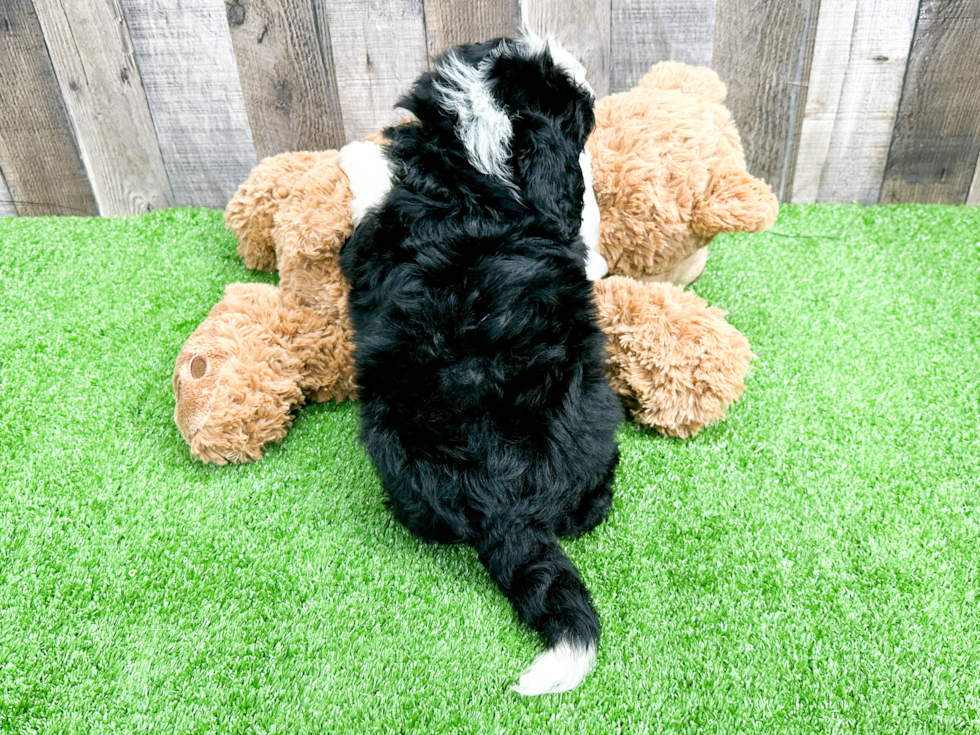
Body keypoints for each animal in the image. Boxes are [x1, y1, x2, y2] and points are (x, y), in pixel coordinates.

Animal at [336, 30, 620, 696]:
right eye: (573, 110)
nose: (583, 73)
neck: (470, 175)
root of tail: (504, 500)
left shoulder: (370, 243)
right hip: (599, 411)